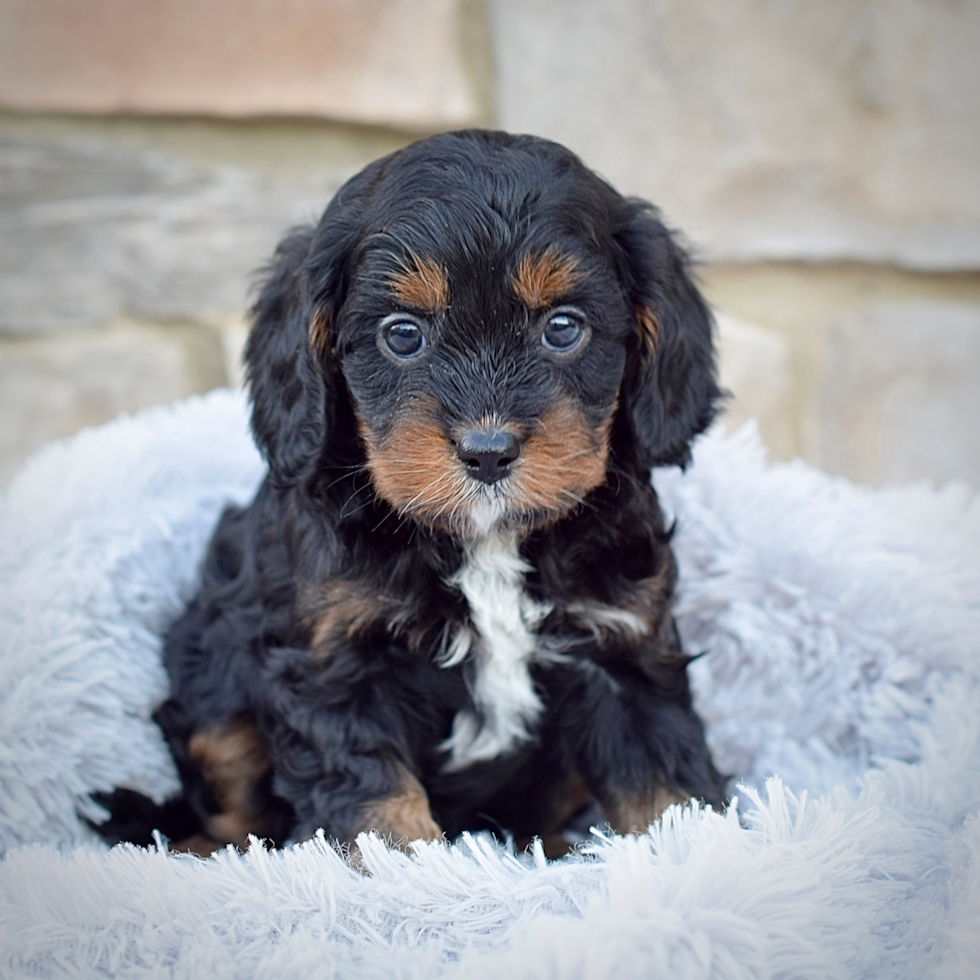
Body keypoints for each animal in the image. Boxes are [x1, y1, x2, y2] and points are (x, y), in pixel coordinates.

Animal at [95, 128, 728, 856]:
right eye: (402, 334)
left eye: (564, 327)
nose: (487, 452)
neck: (486, 541)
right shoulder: (333, 654)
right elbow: (372, 799)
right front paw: (396, 867)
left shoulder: (623, 644)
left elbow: (664, 786)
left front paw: (700, 858)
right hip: (213, 684)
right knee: (227, 797)